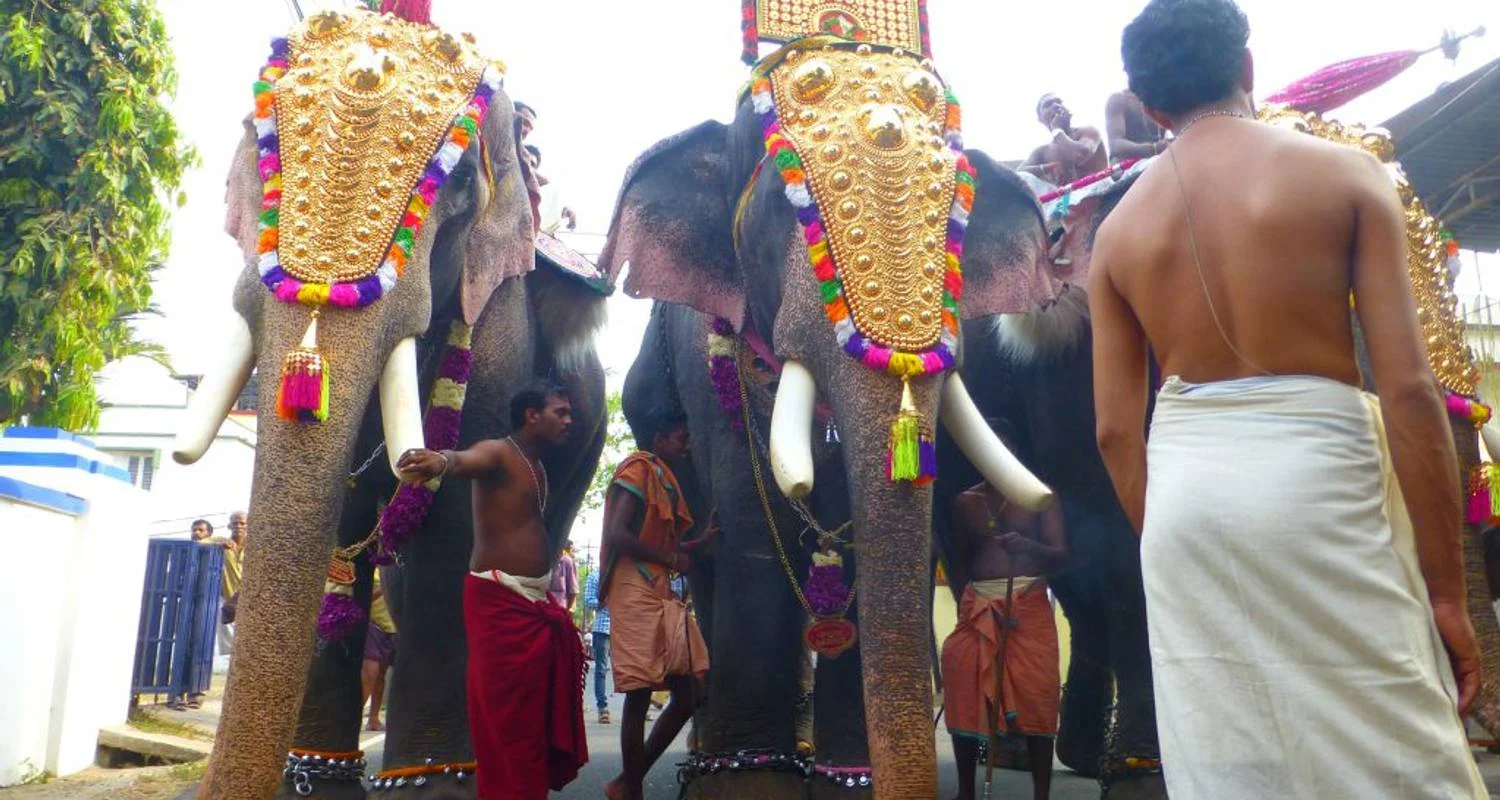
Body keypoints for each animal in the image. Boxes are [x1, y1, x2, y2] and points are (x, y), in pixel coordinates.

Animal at [170, 11, 606, 799]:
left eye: (456, 182)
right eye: (257, 139)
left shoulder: (495, 337)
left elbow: (447, 544)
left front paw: (433, 786)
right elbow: (339, 533)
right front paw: (313, 780)